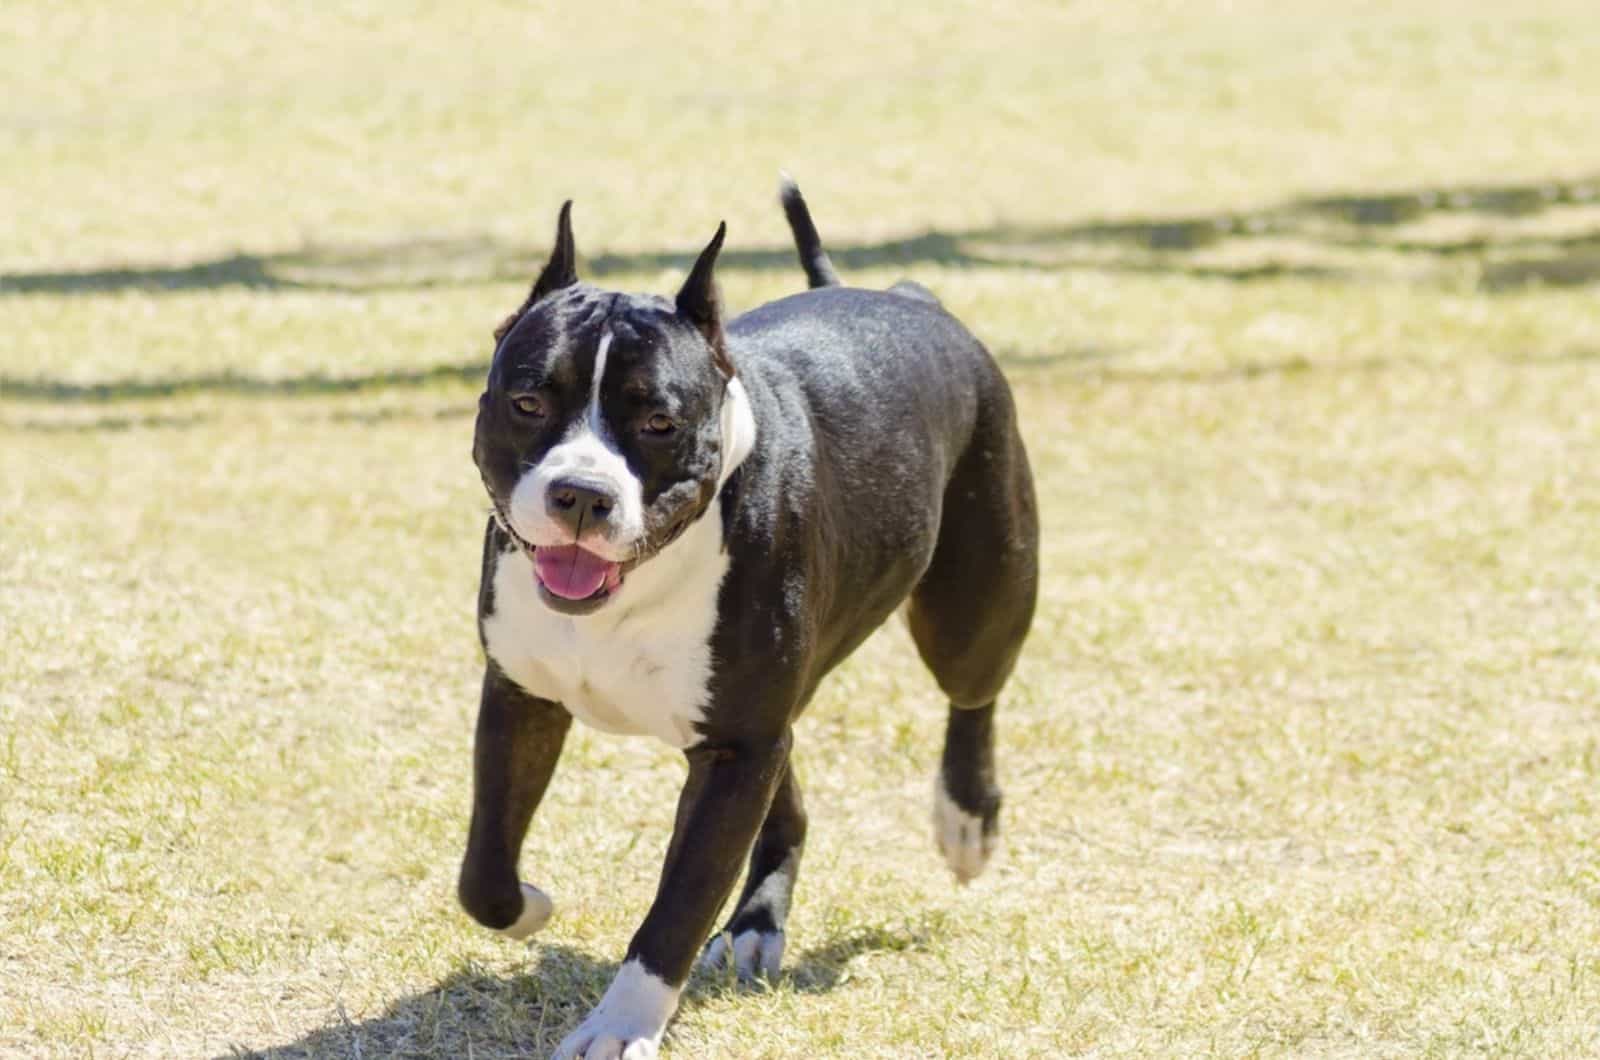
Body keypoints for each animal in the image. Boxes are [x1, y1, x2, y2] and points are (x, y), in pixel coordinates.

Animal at [457, 182, 1043, 1060]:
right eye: (528, 403)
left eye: (660, 423)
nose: (582, 494)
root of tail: (909, 297)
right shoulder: (524, 697)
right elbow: (485, 875)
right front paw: (529, 906)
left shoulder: (735, 752)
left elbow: (675, 910)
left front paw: (621, 1027)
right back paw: (757, 923)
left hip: (975, 602)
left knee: (973, 693)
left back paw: (965, 822)